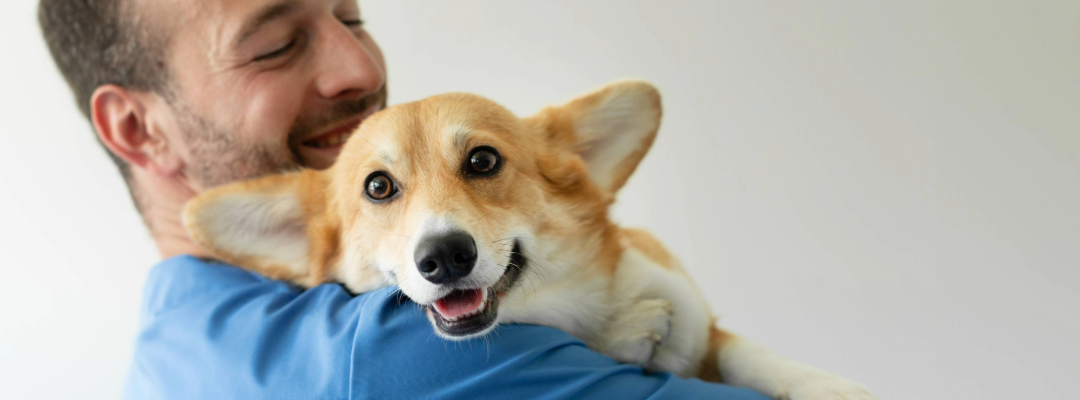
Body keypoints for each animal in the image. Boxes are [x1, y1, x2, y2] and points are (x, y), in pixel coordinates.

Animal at [185, 81, 876, 399]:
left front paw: (827, 385)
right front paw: (636, 335)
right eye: (378, 187)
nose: (444, 257)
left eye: (484, 161)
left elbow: (744, 353)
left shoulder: (698, 313)